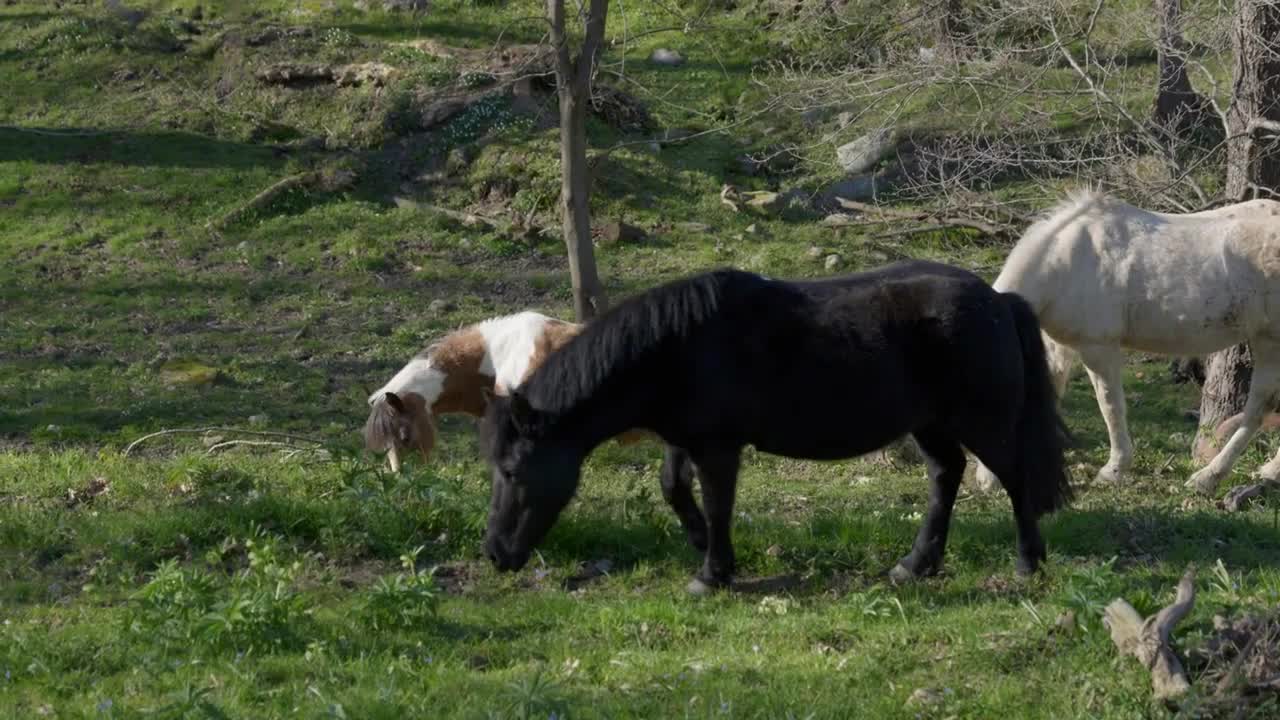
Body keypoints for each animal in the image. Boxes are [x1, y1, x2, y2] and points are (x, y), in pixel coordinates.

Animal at [478, 260, 1070, 591]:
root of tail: (998, 301)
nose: (493, 554)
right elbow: (674, 488)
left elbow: (719, 504)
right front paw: (702, 544)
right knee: (946, 477)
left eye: (512, 471)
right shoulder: (685, 439)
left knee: (1015, 481)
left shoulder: (718, 448)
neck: (678, 346)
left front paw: (712, 573)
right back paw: (915, 564)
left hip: (983, 423)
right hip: (930, 425)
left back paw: (1027, 563)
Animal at [972, 188, 1280, 497]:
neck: (1064, 261)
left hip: (1269, 342)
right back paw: (1267, 471)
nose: (984, 481)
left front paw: (1114, 470)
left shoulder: (1098, 348)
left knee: (1257, 409)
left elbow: (1111, 407)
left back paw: (1208, 478)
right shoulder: (1058, 348)